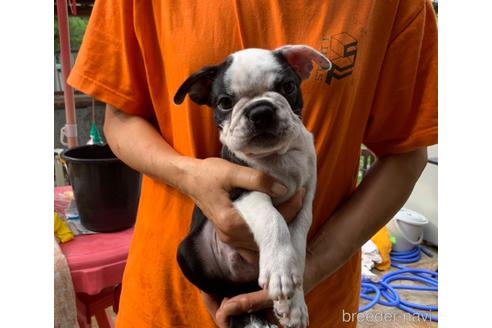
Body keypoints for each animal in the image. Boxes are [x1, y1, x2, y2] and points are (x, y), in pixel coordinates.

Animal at [173, 44, 330, 328]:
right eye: (225, 102)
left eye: (288, 87)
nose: (260, 110)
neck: (276, 156)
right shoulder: (243, 190)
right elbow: (273, 219)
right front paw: (280, 269)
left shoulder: (305, 199)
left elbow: (297, 242)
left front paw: (294, 302)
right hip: (186, 252)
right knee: (221, 291)